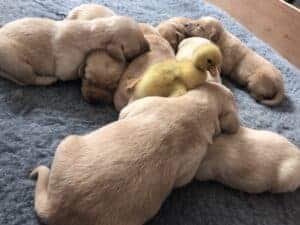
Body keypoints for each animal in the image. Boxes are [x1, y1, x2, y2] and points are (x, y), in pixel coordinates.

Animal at [0, 15, 149, 86]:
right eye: (137, 48)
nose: (149, 47)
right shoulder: (66, 67)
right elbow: (73, 73)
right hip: (18, 64)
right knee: (29, 80)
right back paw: (48, 80)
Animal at [156, 16, 284, 106]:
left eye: (200, 26)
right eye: (196, 20)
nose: (186, 24)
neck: (221, 38)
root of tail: (281, 85)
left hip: (257, 81)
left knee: (259, 95)